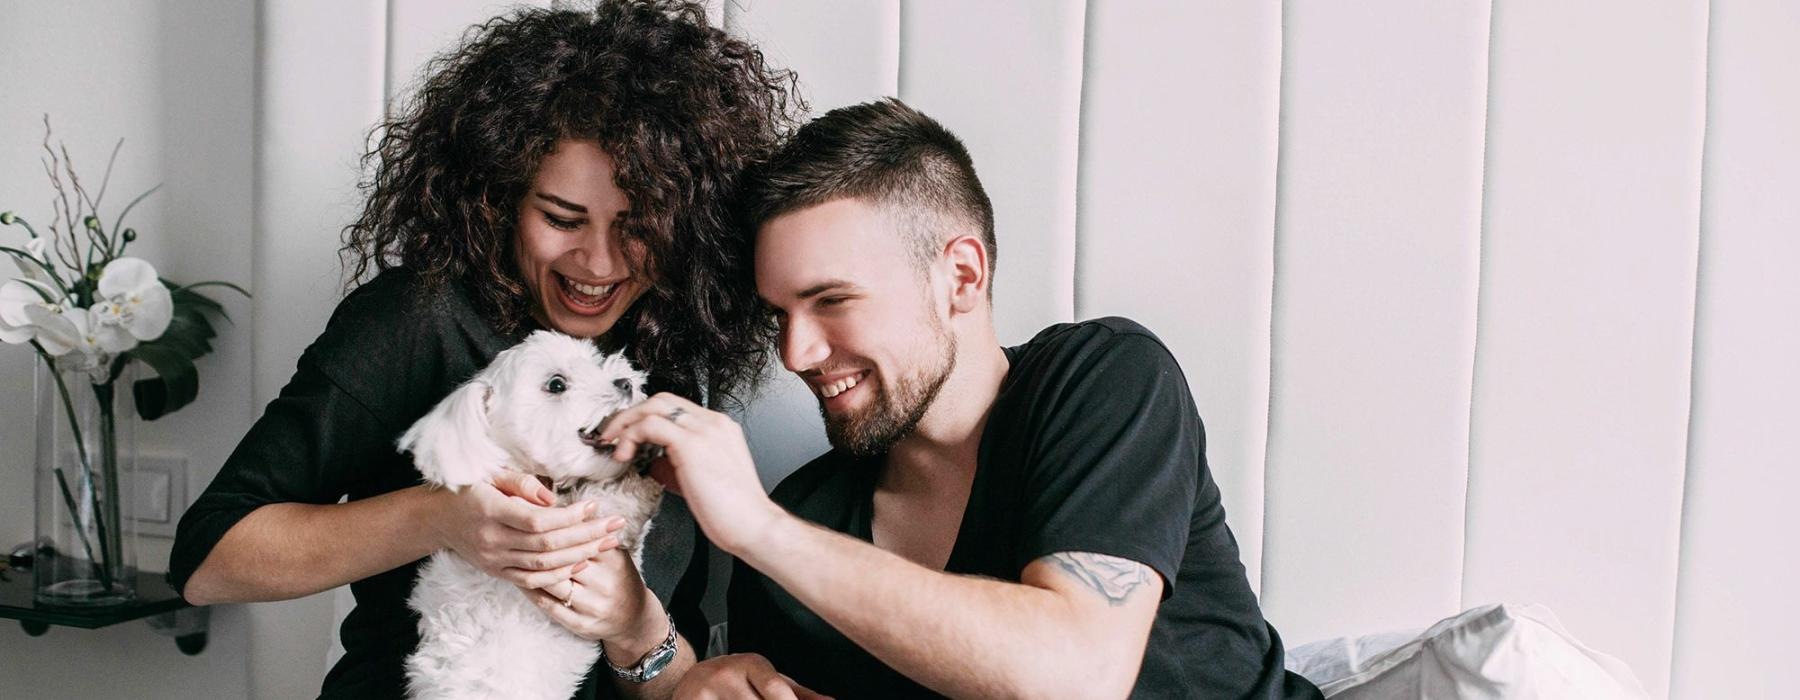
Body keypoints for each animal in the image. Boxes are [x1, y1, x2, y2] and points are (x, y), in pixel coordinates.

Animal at [397, 329, 666, 698]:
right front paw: (642, 475)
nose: (625, 382)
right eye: (556, 384)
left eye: (594, 361)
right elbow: (616, 505)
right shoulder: (581, 531)